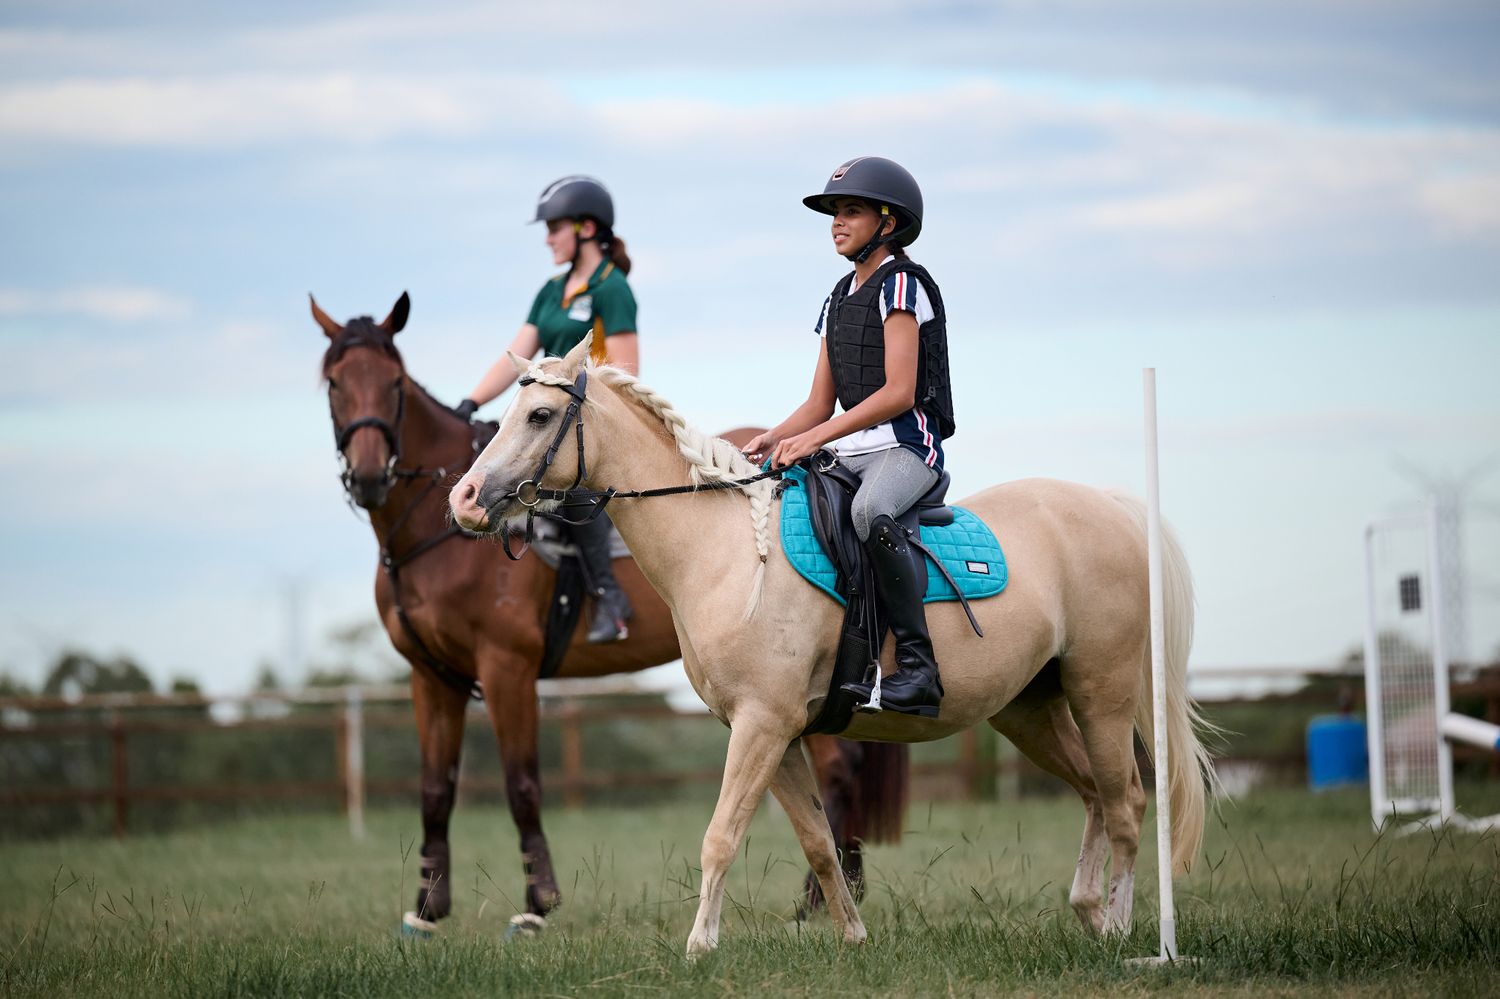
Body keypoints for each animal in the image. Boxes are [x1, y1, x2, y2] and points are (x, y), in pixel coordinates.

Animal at [312, 293, 908, 934]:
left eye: (393, 382)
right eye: (334, 382)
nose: (369, 476)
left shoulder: (507, 669)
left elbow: (521, 783)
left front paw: (537, 904)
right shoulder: (432, 678)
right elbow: (434, 788)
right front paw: (428, 908)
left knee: (839, 767)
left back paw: (819, 897)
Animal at [448, 335, 1219, 955]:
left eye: (539, 416)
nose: (464, 499)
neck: (726, 549)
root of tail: (1112, 508)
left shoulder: (761, 725)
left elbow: (720, 835)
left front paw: (700, 947)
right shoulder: (779, 733)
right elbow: (818, 842)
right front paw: (852, 937)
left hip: (1101, 696)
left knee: (1126, 805)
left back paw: (1121, 928)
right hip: (1030, 709)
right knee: (1095, 795)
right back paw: (1088, 910)